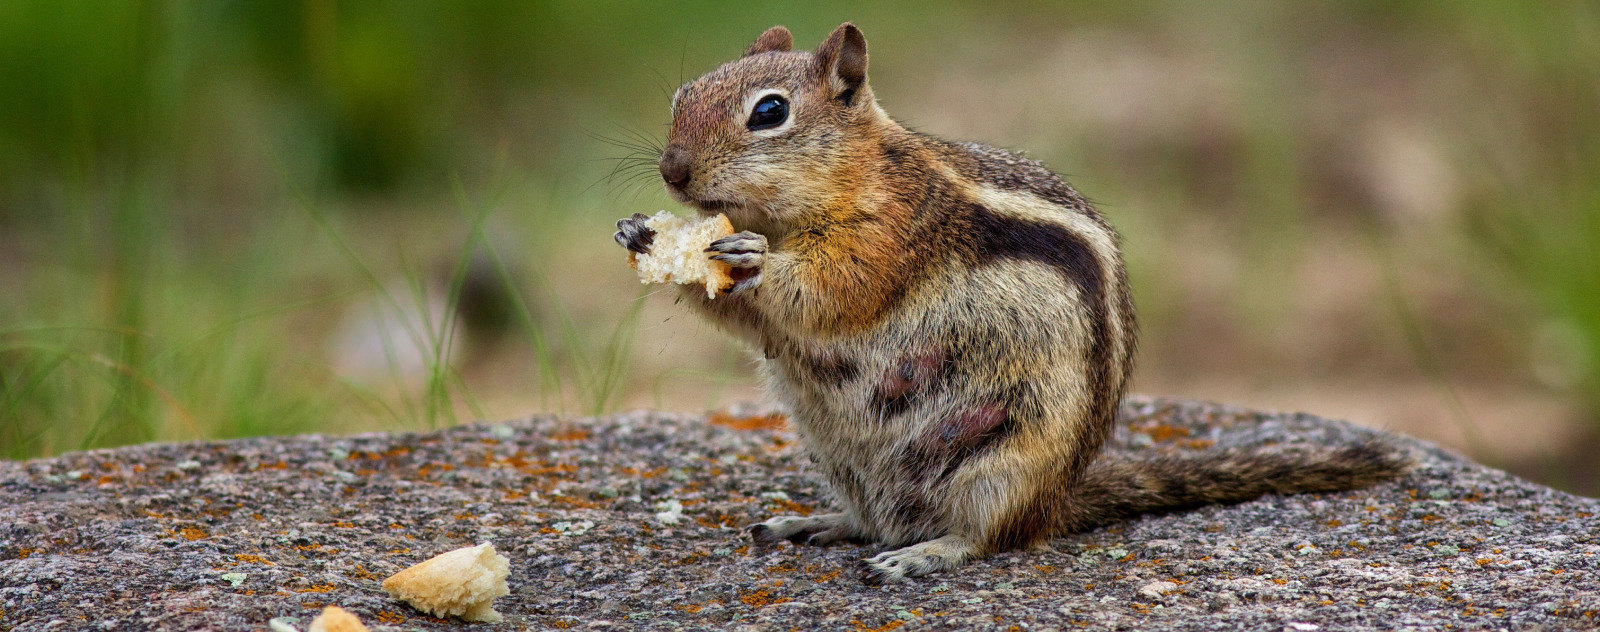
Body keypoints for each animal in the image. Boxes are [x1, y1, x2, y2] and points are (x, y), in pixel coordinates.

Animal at [604, 22, 1408, 585]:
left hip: (1003, 462)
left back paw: (922, 555)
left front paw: (747, 257)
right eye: (681, 98)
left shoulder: (893, 235)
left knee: (985, 536)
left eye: (769, 112)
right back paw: (824, 523)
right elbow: (744, 318)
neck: (855, 175)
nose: (672, 171)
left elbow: (835, 288)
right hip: (838, 454)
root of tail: (1057, 500)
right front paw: (641, 235)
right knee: (878, 518)